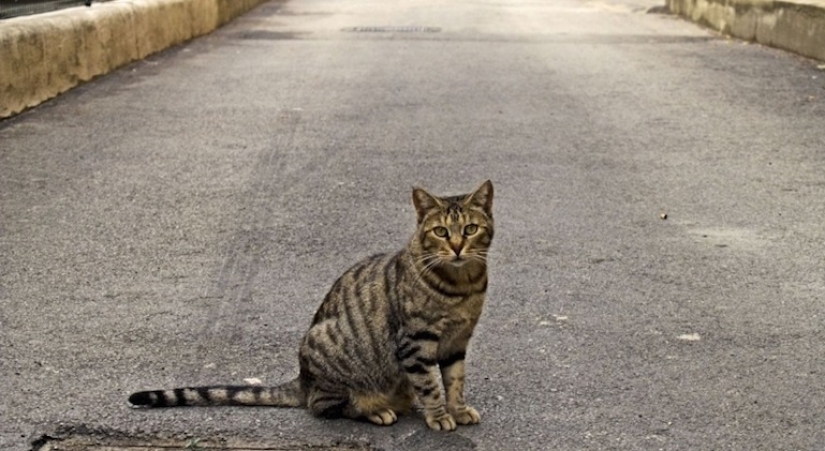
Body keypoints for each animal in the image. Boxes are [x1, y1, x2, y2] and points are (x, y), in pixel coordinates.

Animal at [127, 179, 490, 430]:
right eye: (440, 232)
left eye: (470, 229)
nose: (457, 247)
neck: (463, 286)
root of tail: (302, 378)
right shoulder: (415, 343)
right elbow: (430, 385)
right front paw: (439, 416)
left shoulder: (456, 342)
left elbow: (454, 381)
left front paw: (457, 410)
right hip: (328, 347)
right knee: (323, 405)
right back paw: (374, 409)